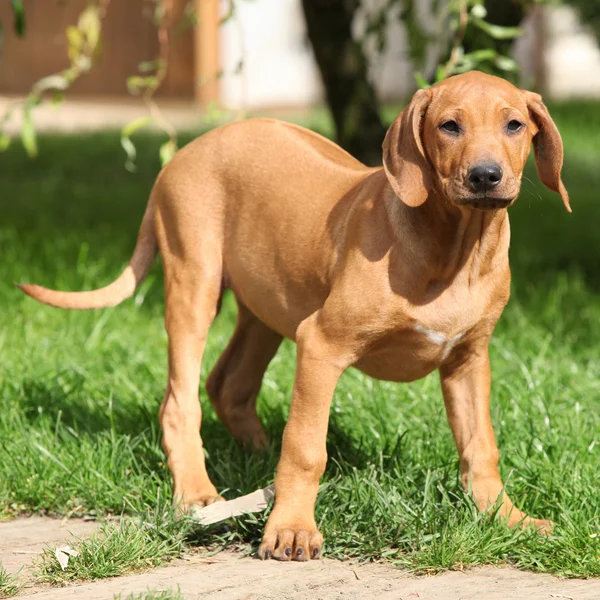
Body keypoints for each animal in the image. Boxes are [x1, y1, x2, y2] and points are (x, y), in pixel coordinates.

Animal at [18, 71, 568, 564]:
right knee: (181, 400)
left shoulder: (468, 360)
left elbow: (481, 447)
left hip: (269, 305)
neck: (456, 247)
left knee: (229, 382)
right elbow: (306, 447)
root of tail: (186, 151)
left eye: (514, 125)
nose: (485, 176)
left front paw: (505, 518)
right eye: (449, 126)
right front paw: (291, 530)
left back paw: (257, 458)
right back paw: (197, 491)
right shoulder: (321, 344)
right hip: (195, 282)